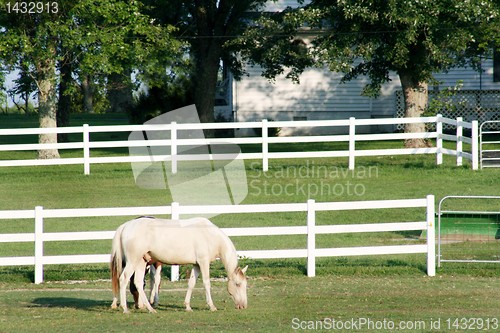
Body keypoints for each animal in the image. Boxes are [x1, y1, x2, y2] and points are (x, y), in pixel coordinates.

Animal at [111, 217, 248, 312]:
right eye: (238, 284)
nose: (243, 305)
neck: (210, 235)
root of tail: (126, 226)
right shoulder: (203, 263)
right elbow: (206, 283)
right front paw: (212, 306)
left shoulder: (196, 265)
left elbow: (191, 283)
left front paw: (187, 306)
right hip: (133, 261)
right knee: (123, 279)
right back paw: (125, 308)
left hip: (141, 262)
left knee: (138, 283)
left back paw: (150, 309)